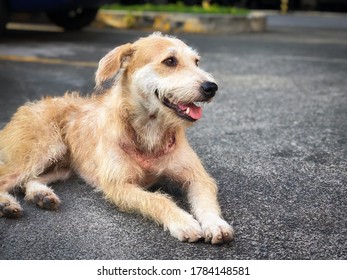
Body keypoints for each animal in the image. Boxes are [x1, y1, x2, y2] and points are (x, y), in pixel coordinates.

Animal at [0, 32, 234, 243]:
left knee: (29, 180)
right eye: (170, 61)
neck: (150, 130)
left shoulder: (197, 177)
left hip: (63, 165)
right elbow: (159, 200)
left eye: (196, 62)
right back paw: (7, 204)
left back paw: (41, 195)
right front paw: (183, 221)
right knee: (7, 177)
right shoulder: (119, 186)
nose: (211, 87)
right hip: (43, 150)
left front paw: (216, 224)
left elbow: (206, 201)